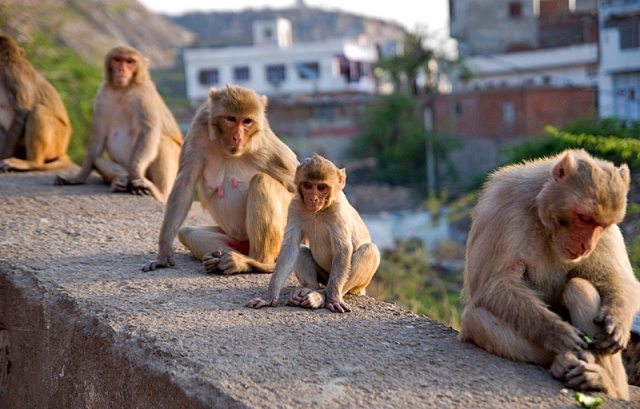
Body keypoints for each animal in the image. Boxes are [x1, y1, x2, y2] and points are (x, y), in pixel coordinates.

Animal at [0, 34, 71, 172]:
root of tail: (63, 150)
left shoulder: (13, 76)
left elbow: (22, 111)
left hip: (58, 139)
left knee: (39, 110)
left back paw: (31, 163)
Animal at [54, 46, 182, 202]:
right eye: (118, 60)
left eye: (130, 62)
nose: (122, 69)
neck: (122, 89)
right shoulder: (102, 96)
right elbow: (98, 137)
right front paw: (78, 178)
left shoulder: (144, 95)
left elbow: (148, 131)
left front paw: (135, 172)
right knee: (97, 160)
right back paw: (121, 181)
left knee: (162, 141)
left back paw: (158, 193)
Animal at [142, 85, 299, 275]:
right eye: (231, 119)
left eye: (247, 121)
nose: (237, 137)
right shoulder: (198, 128)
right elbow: (185, 186)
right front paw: (163, 255)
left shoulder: (266, 144)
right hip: (234, 239)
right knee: (188, 233)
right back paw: (217, 259)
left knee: (261, 181)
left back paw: (254, 263)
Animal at [246, 154, 380, 313]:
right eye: (308, 185)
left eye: (321, 187)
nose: (313, 198)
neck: (318, 212)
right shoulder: (294, 207)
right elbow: (290, 248)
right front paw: (269, 296)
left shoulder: (338, 209)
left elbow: (343, 249)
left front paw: (333, 298)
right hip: (323, 276)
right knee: (302, 250)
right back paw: (308, 289)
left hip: (356, 284)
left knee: (369, 250)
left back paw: (321, 296)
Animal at [458, 149, 640, 400]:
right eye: (584, 218)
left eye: (601, 225)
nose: (587, 246)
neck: (540, 211)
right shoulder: (503, 205)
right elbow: (492, 283)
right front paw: (557, 333)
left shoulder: (609, 232)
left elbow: (618, 278)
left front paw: (618, 320)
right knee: (476, 318)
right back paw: (563, 362)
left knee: (578, 288)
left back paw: (603, 383)